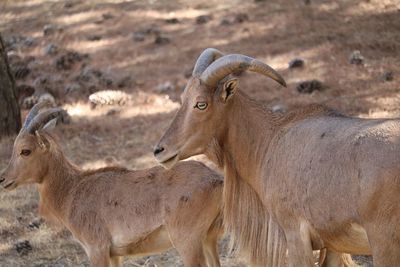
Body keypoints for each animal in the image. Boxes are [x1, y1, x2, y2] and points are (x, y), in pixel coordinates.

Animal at [1, 102, 223, 267]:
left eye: (25, 151)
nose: (3, 179)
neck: (72, 191)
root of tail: (216, 180)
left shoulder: (96, 248)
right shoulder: (115, 254)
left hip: (188, 242)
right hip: (208, 239)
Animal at [154, 47, 400, 266]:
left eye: (201, 104)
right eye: (183, 99)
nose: (160, 150)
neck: (270, 142)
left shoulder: (295, 234)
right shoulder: (332, 246)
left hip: (384, 241)